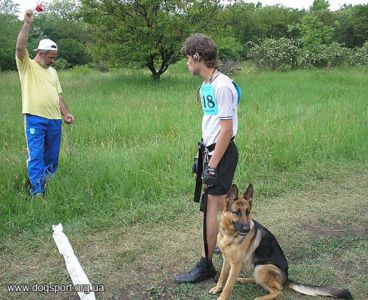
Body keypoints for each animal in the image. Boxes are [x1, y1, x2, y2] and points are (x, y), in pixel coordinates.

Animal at [208, 183, 352, 300]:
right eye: (237, 212)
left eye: (248, 212)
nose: (246, 229)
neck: (230, 234)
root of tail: (286, 278)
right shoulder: (227, 260)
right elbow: (222, 276)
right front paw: (217, 288)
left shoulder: (236, 265)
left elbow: (228, 286)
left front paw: (221, 296)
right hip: (257, 269)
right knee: (263, 283)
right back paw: (244, 280)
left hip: (262, 268)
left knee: (279, 292)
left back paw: (261, 298)